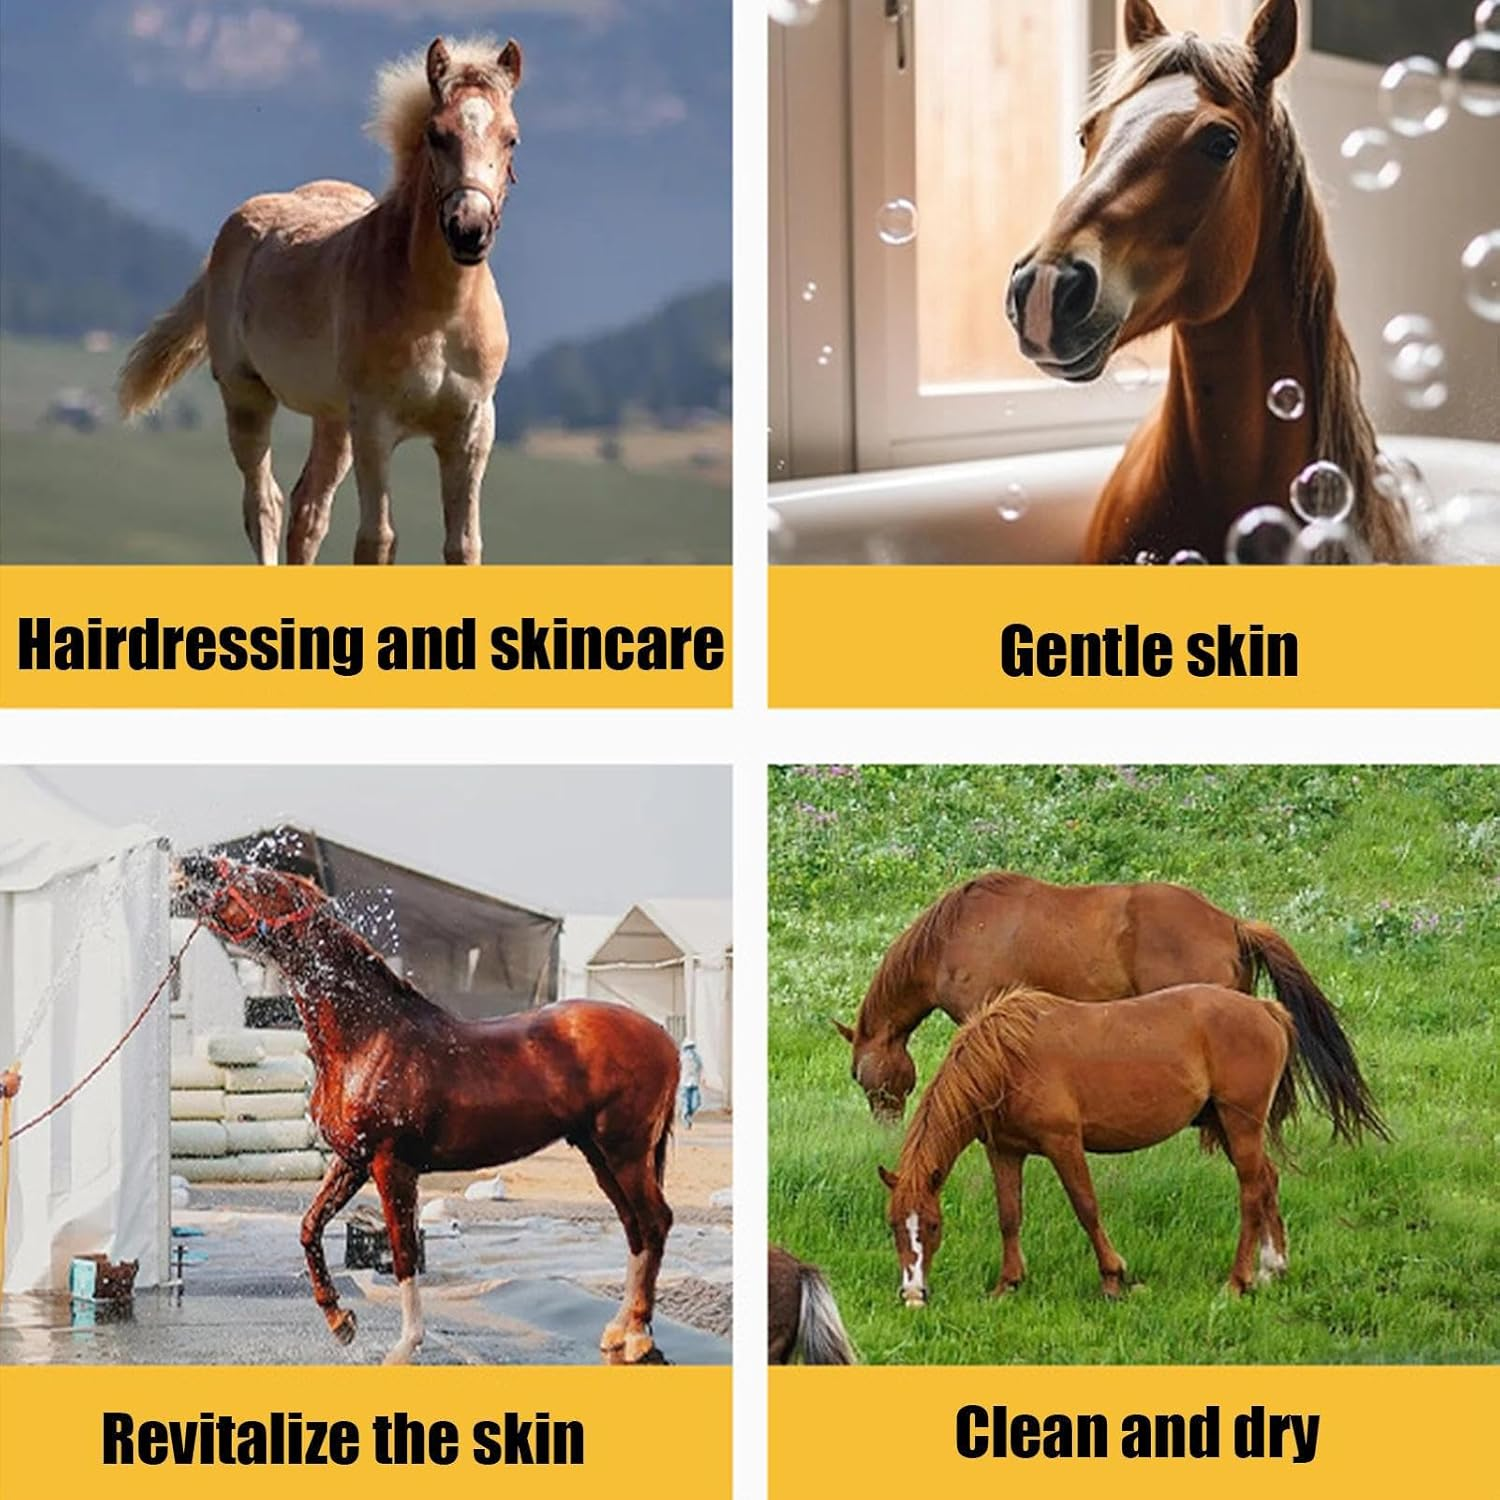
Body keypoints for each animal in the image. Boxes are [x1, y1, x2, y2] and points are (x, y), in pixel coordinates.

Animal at [119, 37, 522, 565]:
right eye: (436, 134)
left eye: (511, 138)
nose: (469, 230)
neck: (438, 312)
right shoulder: (374, 424)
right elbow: (377, 542)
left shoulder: (472, 429)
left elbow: (464, 546)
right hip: (247, 395)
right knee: (264, 503)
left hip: (332, 420)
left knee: (308, 510)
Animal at [173, 854, 678, 1365]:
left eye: (260, 881)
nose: (190, 864)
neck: (368, 1037)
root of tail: (663, 1036)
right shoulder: (352, 1161)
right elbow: (309, 1227)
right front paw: (340, 1321)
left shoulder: (391, 1164)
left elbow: (402, 1253)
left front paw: (404, 1346)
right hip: (598, 1153)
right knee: (634, 1226)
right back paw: (619, 1330)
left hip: (625, 1150)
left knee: (655, 1222)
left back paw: (638, 1335)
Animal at [878, 983, 1365, 1308]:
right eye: (894, 1226)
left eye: (933, 1226)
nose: (913, 1293)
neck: (1006, 1059)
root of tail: (1266, 1008)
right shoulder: (1005, 1150)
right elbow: (1009, 1216)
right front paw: (1008, 1284)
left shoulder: (1063, 1144)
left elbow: (1086, 1208)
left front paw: (1113, 1278)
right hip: (1227, 1126)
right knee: (1266, 1180)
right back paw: (1272, 1267)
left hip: (1240, 1124)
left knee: (1250, 1191)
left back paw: (1237, 1280)